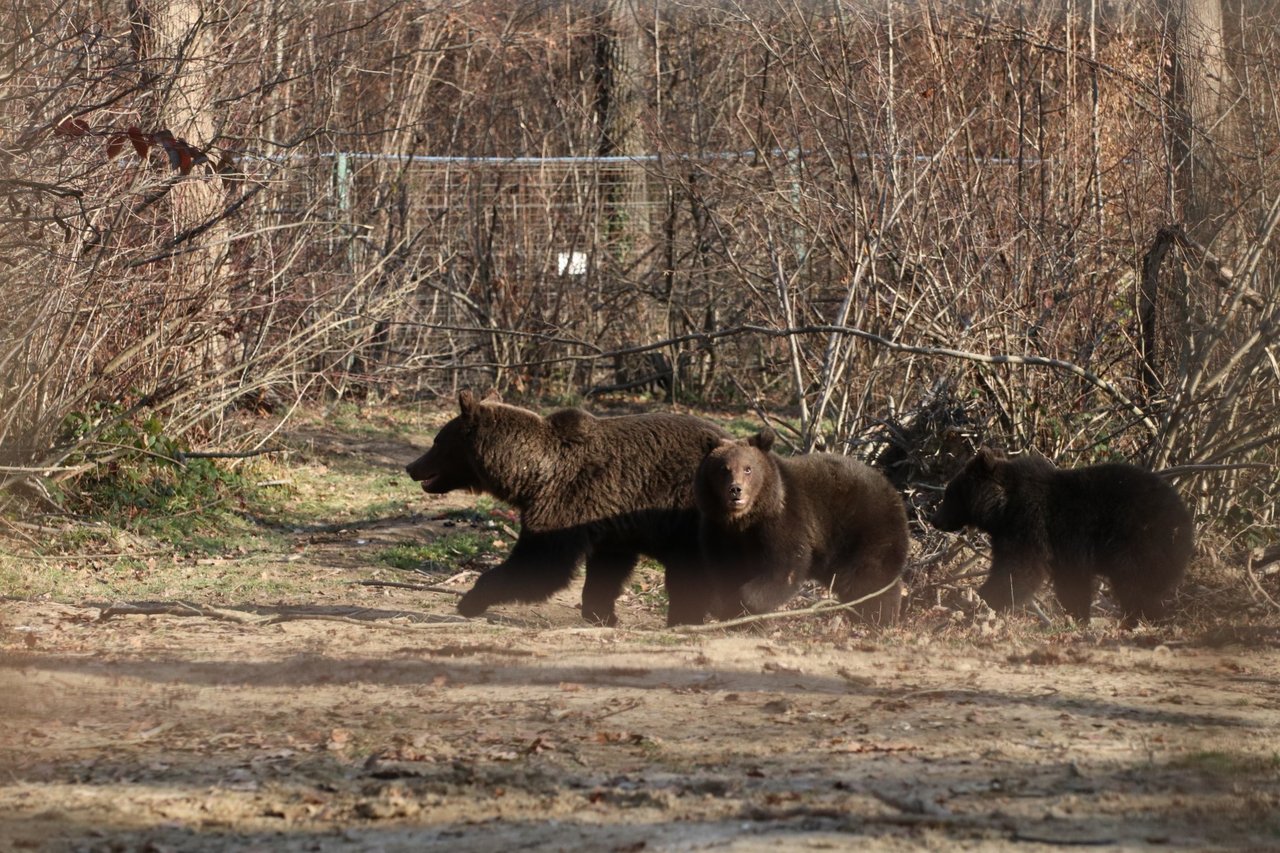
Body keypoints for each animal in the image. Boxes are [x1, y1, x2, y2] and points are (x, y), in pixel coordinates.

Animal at [407, 389, 732, 622]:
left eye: (436, 441)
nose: (411, 467)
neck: (531, 474)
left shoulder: (565, 502)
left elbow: (541, 563)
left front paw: (470, 601)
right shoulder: (612, 519)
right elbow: (606, 569)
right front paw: (601, 614)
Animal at [691, 427, 911, 622]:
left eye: (748, 468)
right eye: (723, 469)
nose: (735, 490)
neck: (744, 520)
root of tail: (894, 491)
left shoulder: (784, 520)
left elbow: (783, 568)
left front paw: (747, 604)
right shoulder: (718, 529)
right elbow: (725, 570)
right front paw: (731, 612)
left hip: (868, 528)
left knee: (871, 578)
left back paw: (878, 617)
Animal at [931, 450, 1187, 625]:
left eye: (949, 494)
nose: (935, 520)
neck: (1001, 507)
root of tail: (1183, 518)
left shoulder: (1029, 523)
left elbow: (1020, 569)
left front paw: (982, 601)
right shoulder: (1064, 549)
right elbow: (1070, 581)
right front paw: (1076, 615)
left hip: (1139, 541)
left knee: (1136, 584)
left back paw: (1143, 617)